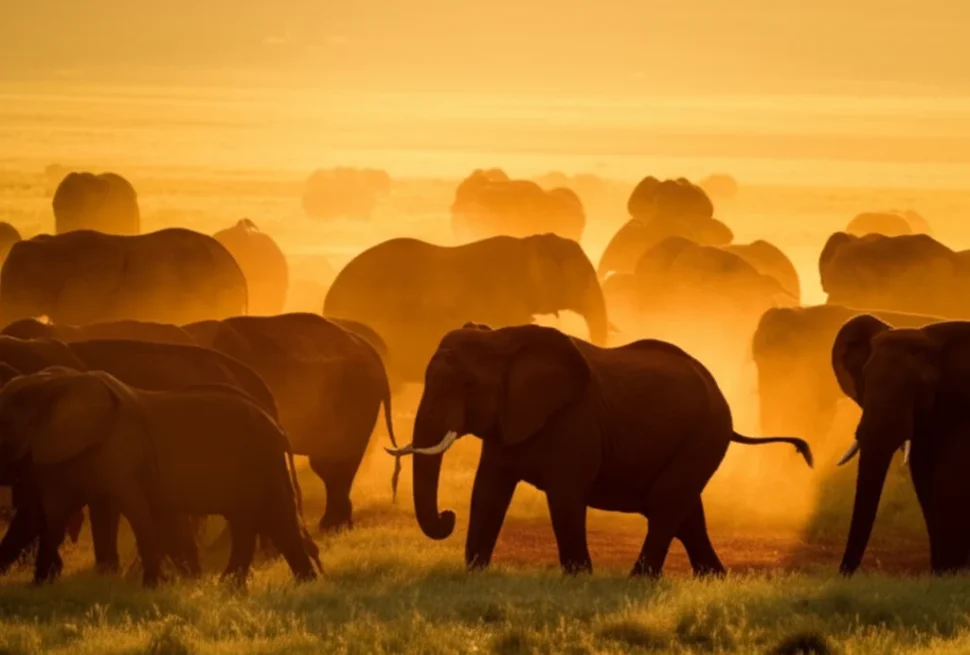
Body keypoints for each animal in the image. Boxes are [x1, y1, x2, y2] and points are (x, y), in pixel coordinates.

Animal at [0, 368, 320, 586]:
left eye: (5, 421)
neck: (58, 385)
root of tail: (278, 426)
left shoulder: (121, 449)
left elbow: (135, 508)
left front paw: (152, 585)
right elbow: (52, 513)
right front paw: (40, 585)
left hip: (261, 461)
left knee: (264, 519)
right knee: (270, 522)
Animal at [387, 324, 813, 576]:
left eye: (468, 385)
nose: (447, 515)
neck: (505, 339)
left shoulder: (576, 423)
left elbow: (565, 498)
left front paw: (579, 578)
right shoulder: (508, 422)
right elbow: (488, 493)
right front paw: (475, 573)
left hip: (705, 434)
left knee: (665, 504)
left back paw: (639, 580)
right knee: (687, 511)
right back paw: (713, 579)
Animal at [831, 315, 970, 574]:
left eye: (925, 385)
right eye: (865, 380)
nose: (843, 574)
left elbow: (949, 478)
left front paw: (952, 573)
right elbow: (925, 480)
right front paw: (942, 573)